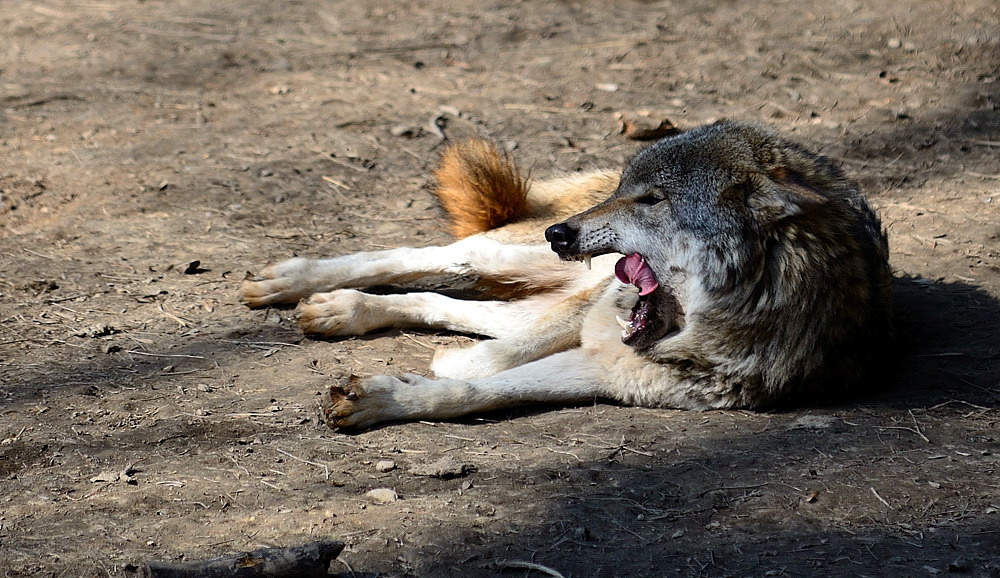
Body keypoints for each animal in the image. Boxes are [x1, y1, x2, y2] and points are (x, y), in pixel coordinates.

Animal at [240, 121, 893, 429]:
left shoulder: (602, 370)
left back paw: (344, 309)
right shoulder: (597, 316)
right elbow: (490, 362)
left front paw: (392, 394)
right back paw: (295, 282)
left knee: (465, 308)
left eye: (652, 200)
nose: (563, 234)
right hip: (516, 259)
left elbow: (473, 385)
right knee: (425, 258)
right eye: (628, 190)